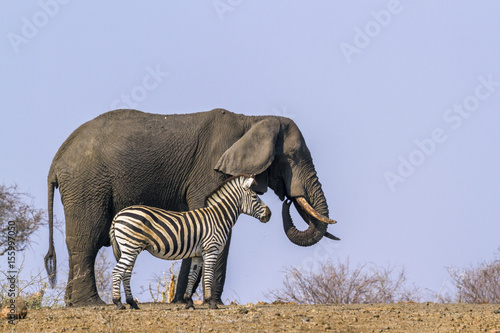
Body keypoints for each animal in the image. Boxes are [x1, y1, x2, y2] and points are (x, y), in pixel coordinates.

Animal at [109, 174, 272, 308]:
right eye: (254, 197)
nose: (269, 214)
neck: (218, 217)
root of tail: (118, 215)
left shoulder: (198, 254)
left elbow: (192, 276)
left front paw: (189, 302)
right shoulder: (211, 249)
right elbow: (208, 275)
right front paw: (211, 303)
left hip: (129, 248)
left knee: (126, 273)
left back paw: (132, 303)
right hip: (131, 247)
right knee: (118, 271)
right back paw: (118, 303)